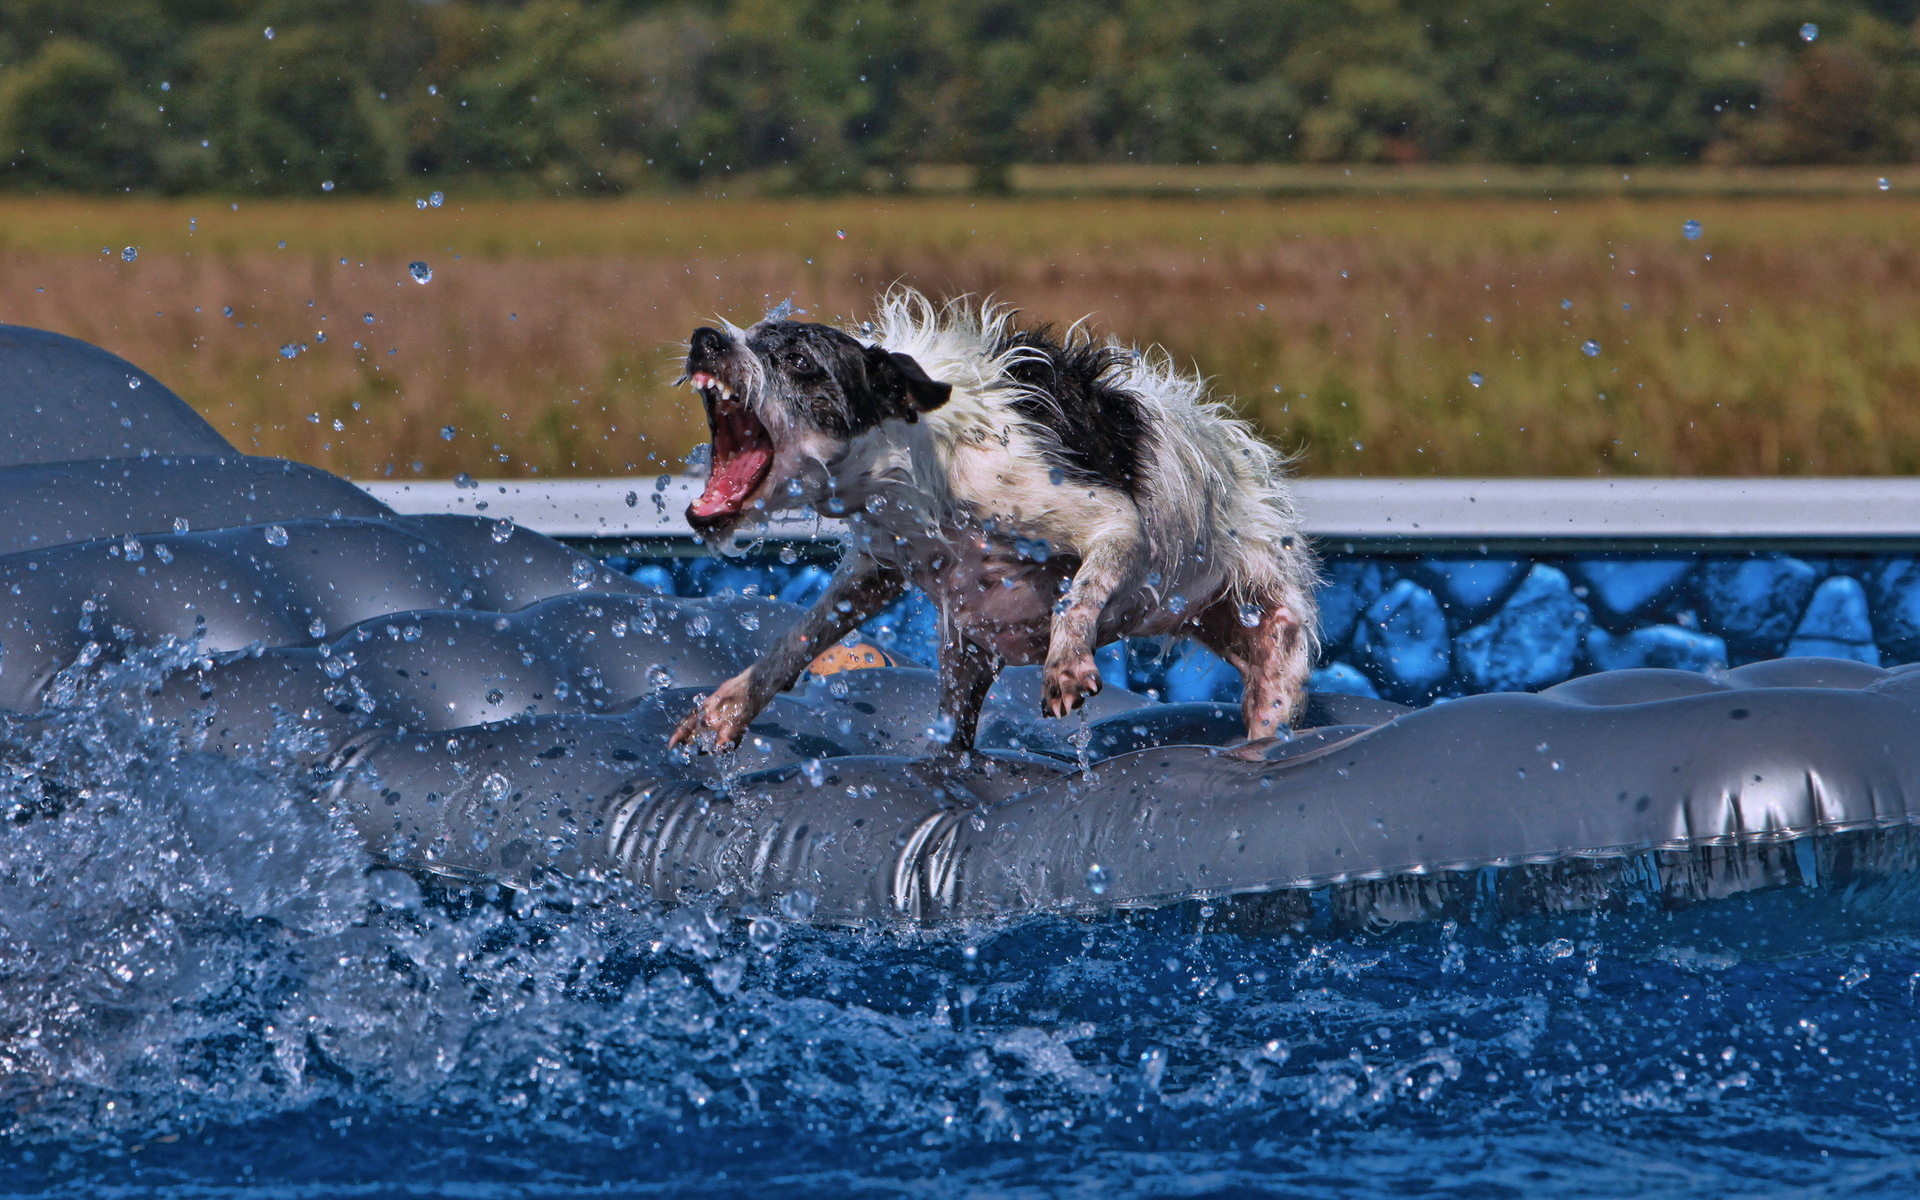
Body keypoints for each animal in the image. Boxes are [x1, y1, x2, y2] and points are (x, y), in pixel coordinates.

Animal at [668, 289, 1313, 752]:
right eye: (745, 335)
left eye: (800, 361)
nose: (705, 340)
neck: (919, 464)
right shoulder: (879, 567)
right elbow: (799, 636)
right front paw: (730, 706)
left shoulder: (1111, 523)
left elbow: (1078, 594)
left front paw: (1065, 664)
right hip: (967, 668)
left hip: (1273, 641)